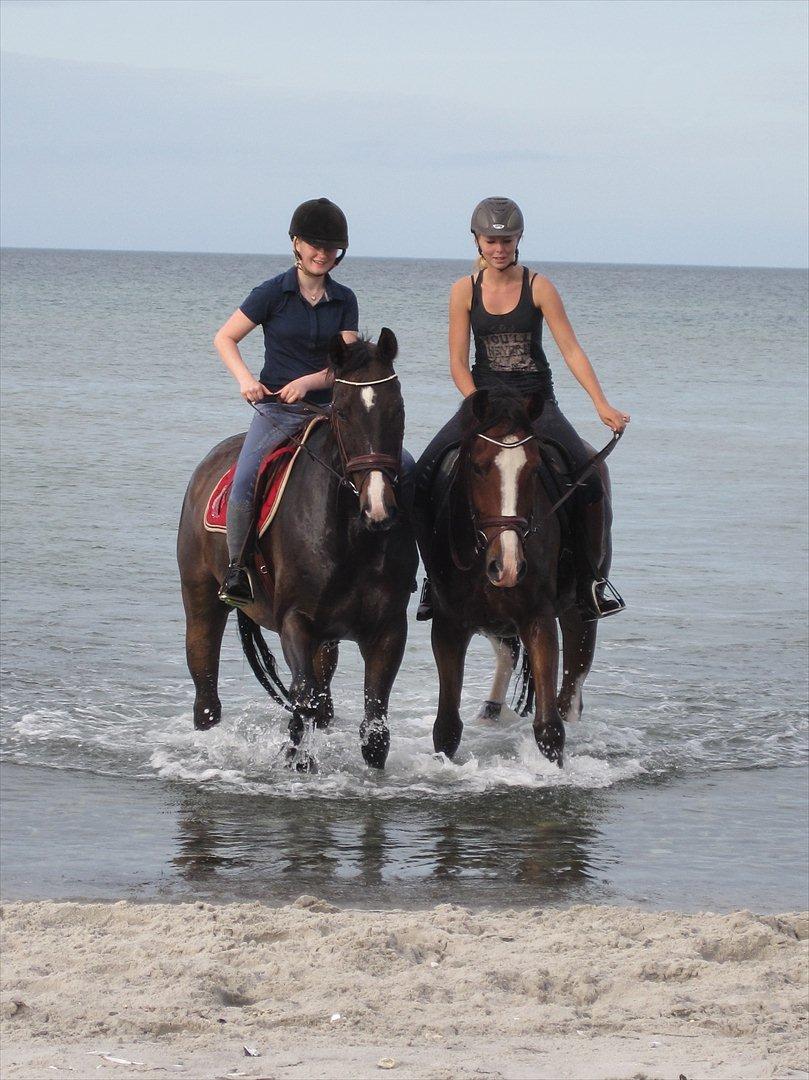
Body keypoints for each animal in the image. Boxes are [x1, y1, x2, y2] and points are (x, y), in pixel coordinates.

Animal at [177, 328, 416, 768]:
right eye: (343, 412)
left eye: (398, 408)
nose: (378, 507)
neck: (352, 536)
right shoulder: (296, 621)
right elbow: (304, 702)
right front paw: (295, 759)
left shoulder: (388, 629)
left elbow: (374, 731)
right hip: (201, 601)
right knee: (206, 694)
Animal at [416, 388, 613, 768]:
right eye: (478, 467)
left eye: (534, 468)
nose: (507, 566)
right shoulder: (449, 625)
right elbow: (446, 727)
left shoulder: (538, 618)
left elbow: (550, 728)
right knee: (507, 651)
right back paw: (490, 711)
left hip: (579, 610)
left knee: (571, 692)